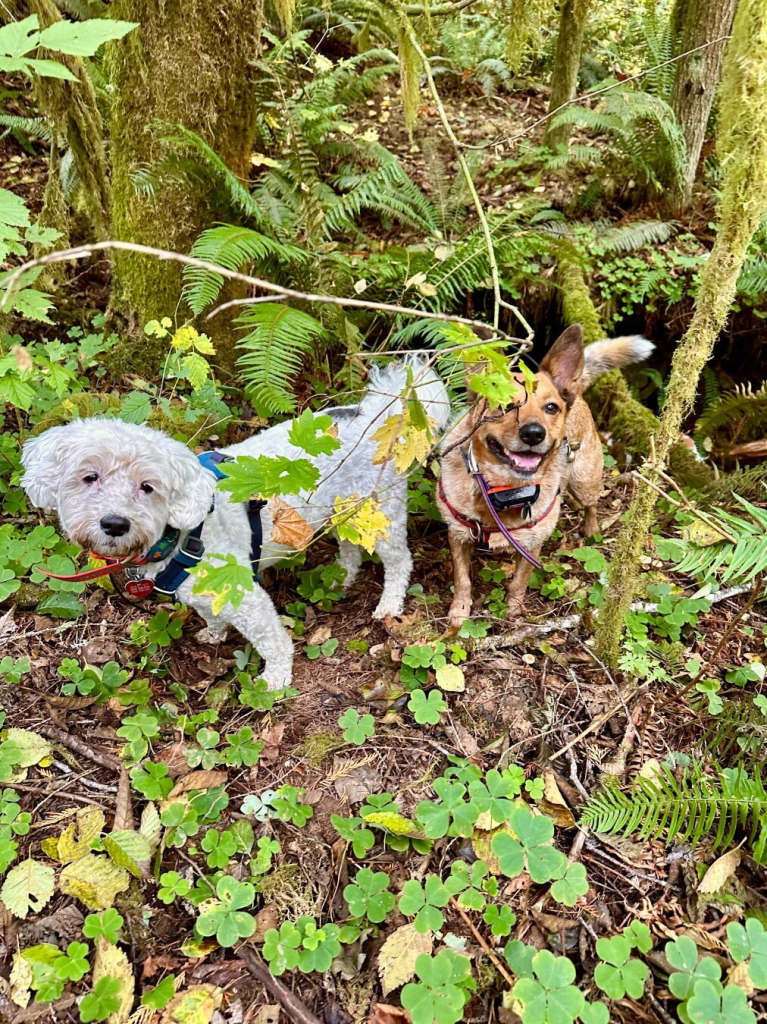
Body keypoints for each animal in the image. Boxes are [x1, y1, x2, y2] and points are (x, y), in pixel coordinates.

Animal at [20, 360, 448, 688]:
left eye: (148, 487)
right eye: (89, 477)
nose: (114, 523)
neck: (179, 536)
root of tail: (381, 411)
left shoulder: (245, 594)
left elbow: (274, 641)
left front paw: (276, 680)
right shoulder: (201, 592)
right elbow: (210, 613)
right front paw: (214, 633)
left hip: (379, 511)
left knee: (399, 560)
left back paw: (388, 605)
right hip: (344, 514)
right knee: (349, 548)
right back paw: (339, 580)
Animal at [436, 325, 651, 622]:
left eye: (551, 408)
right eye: (504, 406)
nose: (533, 433)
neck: (503, 491)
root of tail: (577, 392)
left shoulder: (532, 544)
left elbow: (519, 580)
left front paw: (513, 611)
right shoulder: (458, 535)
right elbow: (462, 579)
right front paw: (459, 611)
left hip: (584, 481)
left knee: (591, 503)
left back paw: (592, 529)